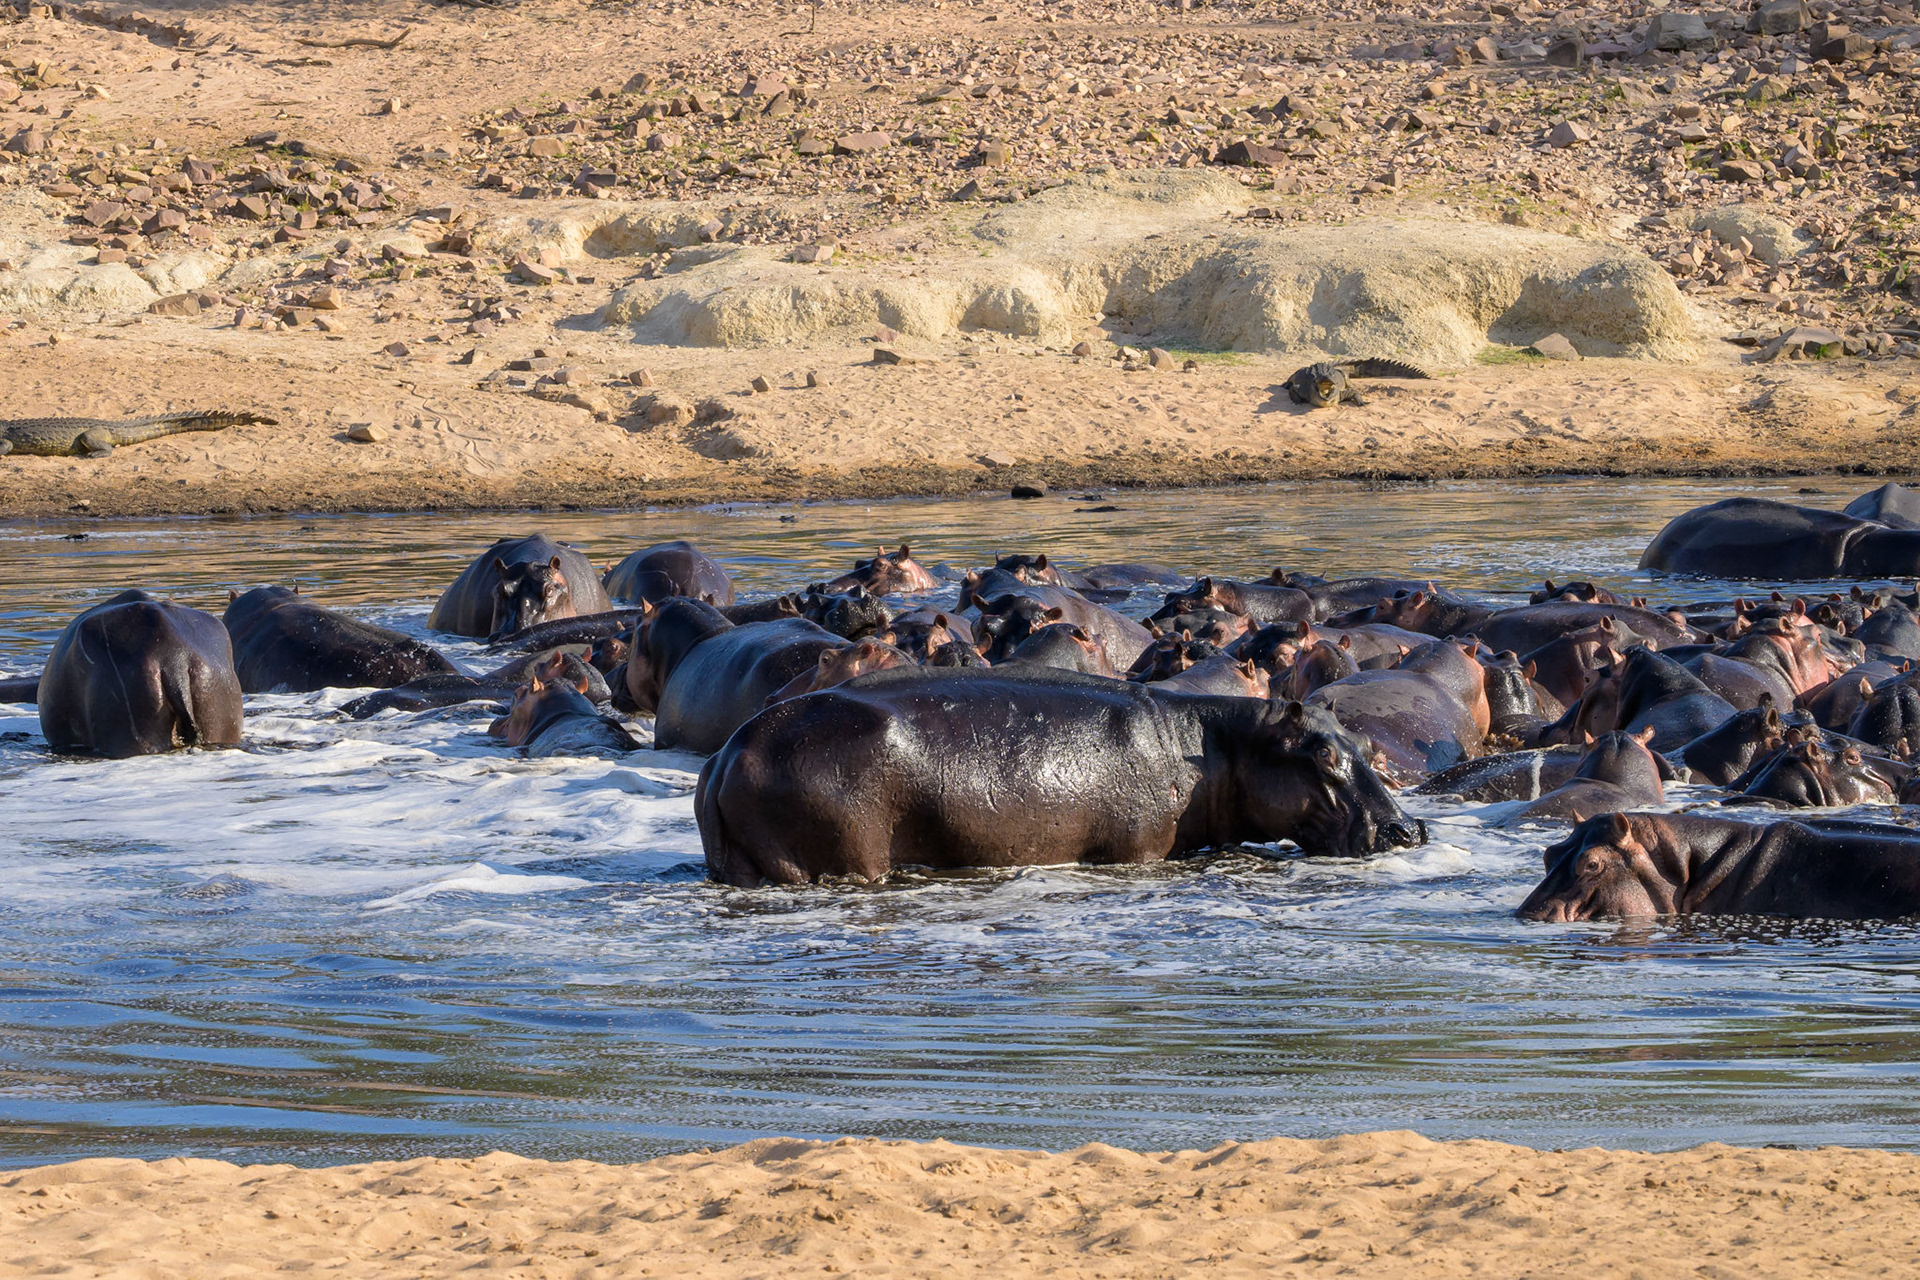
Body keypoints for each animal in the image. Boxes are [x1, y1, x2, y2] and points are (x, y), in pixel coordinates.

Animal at [696, 668, 1425, 885]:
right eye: (1322, 754)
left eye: (1362, 742)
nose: (1408, 829)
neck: (1213, 745)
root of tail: (725, 756)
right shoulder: (1136, 850)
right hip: (836, 856)